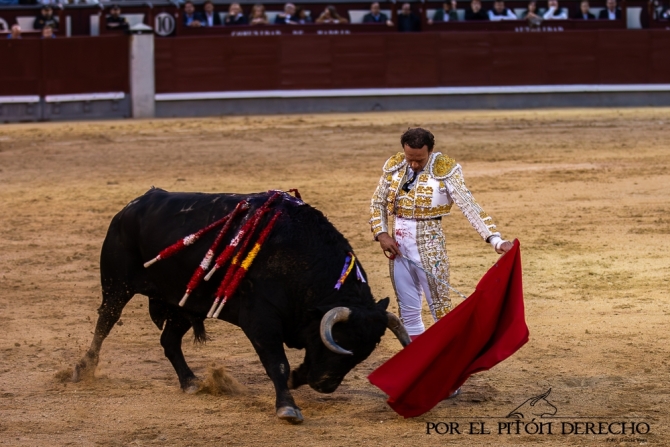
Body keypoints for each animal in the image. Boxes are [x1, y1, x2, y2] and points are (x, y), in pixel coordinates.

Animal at [72, 189, 410, 424]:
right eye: (337, 340)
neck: (301, 259)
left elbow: (291, 367)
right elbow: (277, 362)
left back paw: (190, 382)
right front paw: (287, 407)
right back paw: (83, 368)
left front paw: (295, 382)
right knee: (105, 321)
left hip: (185, 302)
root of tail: (131, 206)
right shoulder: (261, 320)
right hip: (117, 286)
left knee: (169, 340)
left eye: (364, 353)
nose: (326, 385)